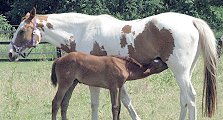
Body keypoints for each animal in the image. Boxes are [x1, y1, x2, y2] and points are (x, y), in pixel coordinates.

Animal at [7, 7, 217, 119]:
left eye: (22, 31)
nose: (10, 53)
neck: (82, 30)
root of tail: (192, 21)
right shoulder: (116, 81)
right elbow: (125, 101)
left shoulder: (95, 81)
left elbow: (95, 104)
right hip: (185, 71)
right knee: (184, 99)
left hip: (179, 71)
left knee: (190, 97)